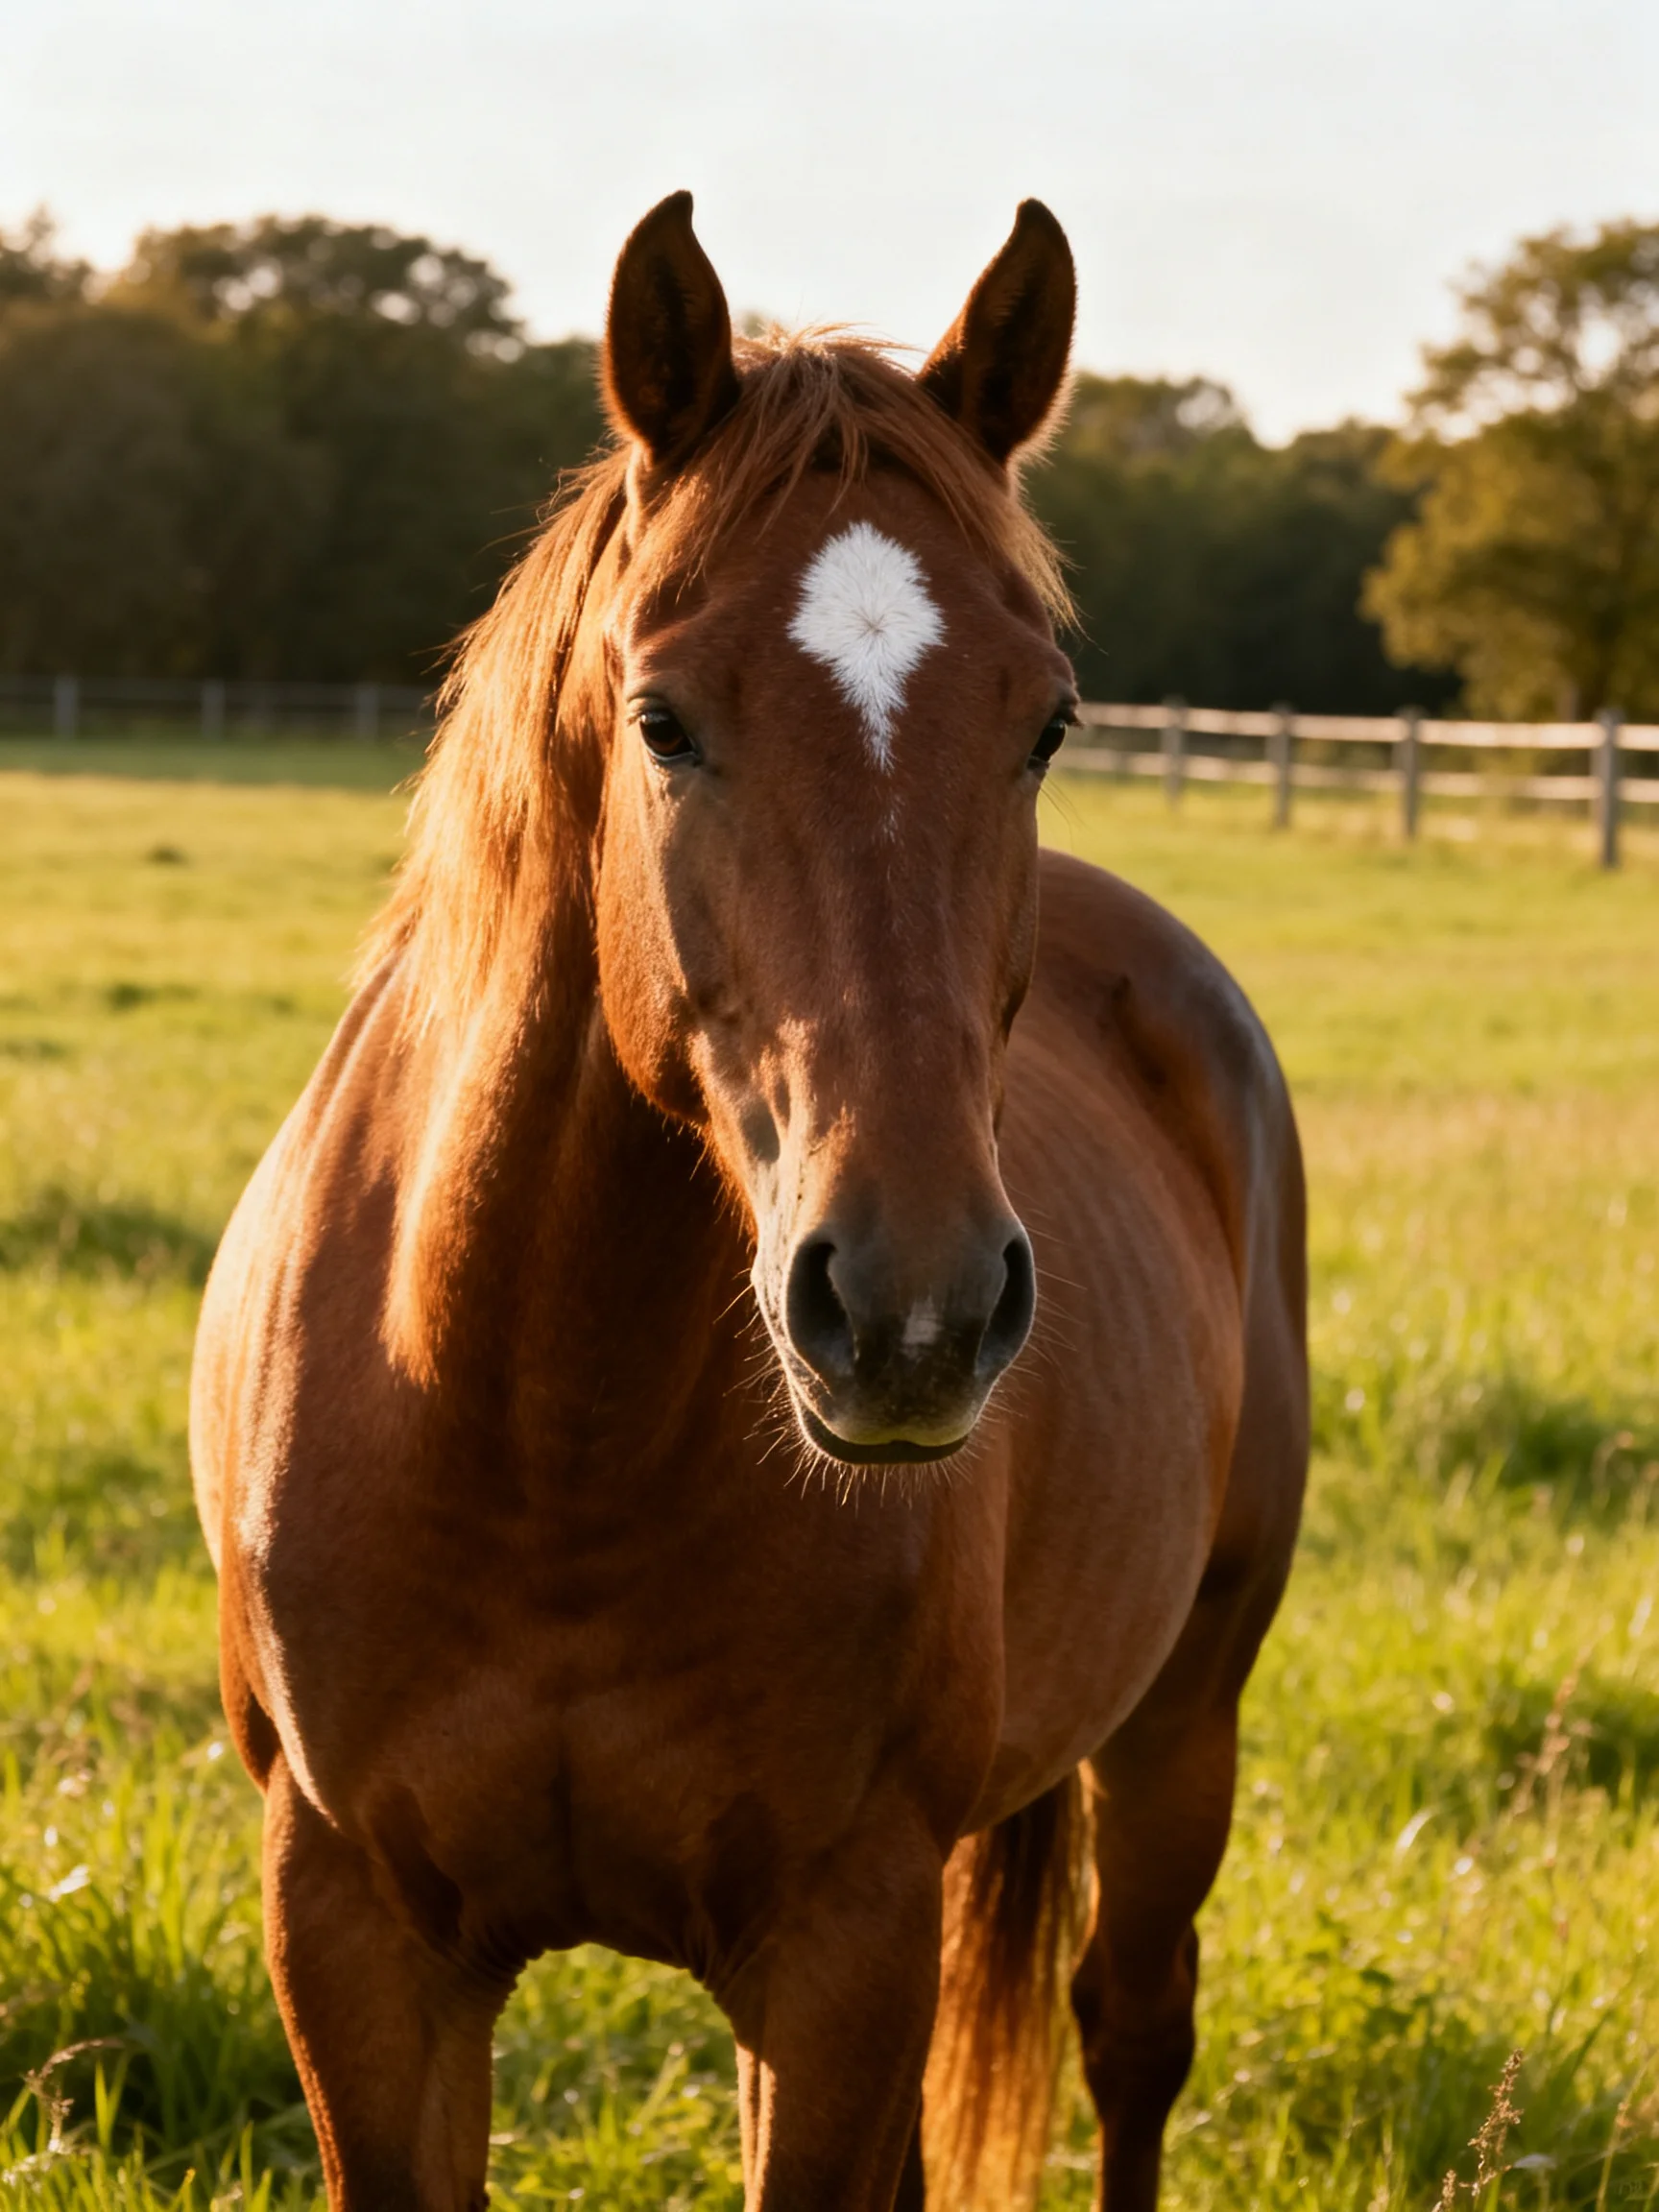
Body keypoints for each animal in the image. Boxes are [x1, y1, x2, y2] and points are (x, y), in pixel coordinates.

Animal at [190, 191, 1307, 2212]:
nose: (911, 1307)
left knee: (1133, 2030)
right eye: (661, 716)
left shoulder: (839, 1938)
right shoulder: (357, 1936)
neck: (538, 1429)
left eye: (1044, 719)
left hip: (1183, 1713)